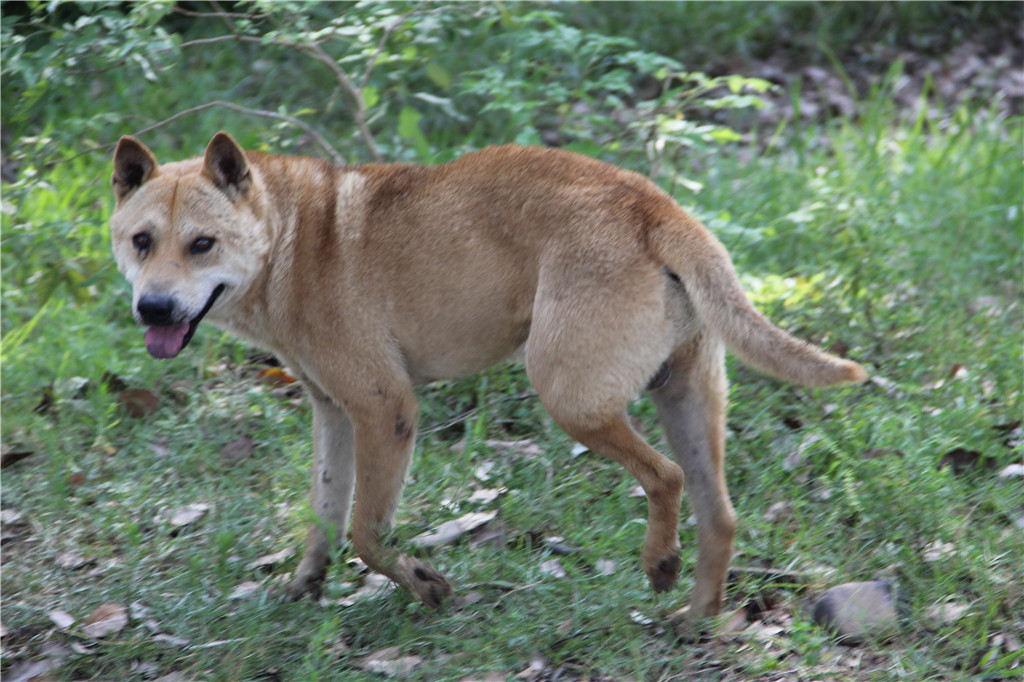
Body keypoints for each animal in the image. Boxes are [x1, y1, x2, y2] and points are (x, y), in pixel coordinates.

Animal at [110, 133, 864, 626]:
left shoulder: (387, 410)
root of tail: (653, 205)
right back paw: (697, 616)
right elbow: (323, 519)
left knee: (666, 478)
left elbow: (366, 534)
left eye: (202, 244)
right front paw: (303, 591)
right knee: (719, 513)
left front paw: (424, 585)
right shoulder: (332, 414)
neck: (289, 239)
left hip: (570, 397)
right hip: (683, 396)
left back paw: (659, 566)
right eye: (141, 242)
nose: (154, 308)